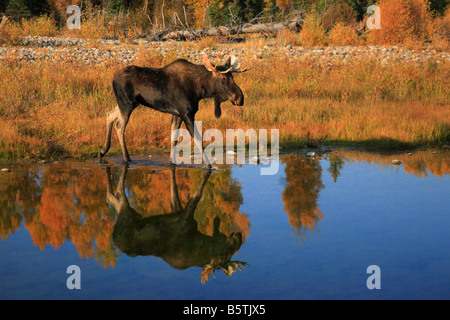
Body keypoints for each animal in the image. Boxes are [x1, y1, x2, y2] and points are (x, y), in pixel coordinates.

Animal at [99, 54, 248, 164]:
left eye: (233, 77)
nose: (240, 98)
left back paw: (103, 150)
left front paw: (172, 161)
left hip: (129, 103)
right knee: (119, 126)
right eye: (224, 78)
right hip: (126, 103)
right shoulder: (187, 113)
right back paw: (126, 157)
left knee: (109, 114)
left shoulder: (177, 114)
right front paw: (208, 165)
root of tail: (113, 79)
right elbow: (198, 140)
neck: (200, 90)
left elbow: (174, 138)